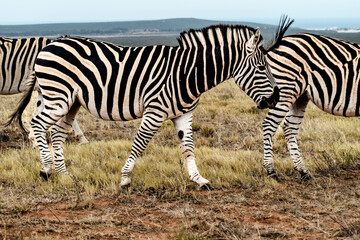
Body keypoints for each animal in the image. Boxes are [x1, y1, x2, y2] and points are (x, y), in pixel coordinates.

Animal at [8, 21, 290, 188]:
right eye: (262, 67)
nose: (276, 98)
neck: (187, 73)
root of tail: (50, 43)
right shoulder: (155, 111)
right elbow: (140, 143)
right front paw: (125, 179)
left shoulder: (184, 114)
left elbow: (188, 148)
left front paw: (199, 180)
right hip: (58, 96)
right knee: (37, 124)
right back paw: (46, 170)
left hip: (71, 101)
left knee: (56, 133)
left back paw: (64, 175)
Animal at [258, 26, 358, 180]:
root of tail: (280, 41)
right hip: (285, 91)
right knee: (269, 124)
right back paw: (271, 170)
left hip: (300, 96)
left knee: (289, 127)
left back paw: (303, 171)